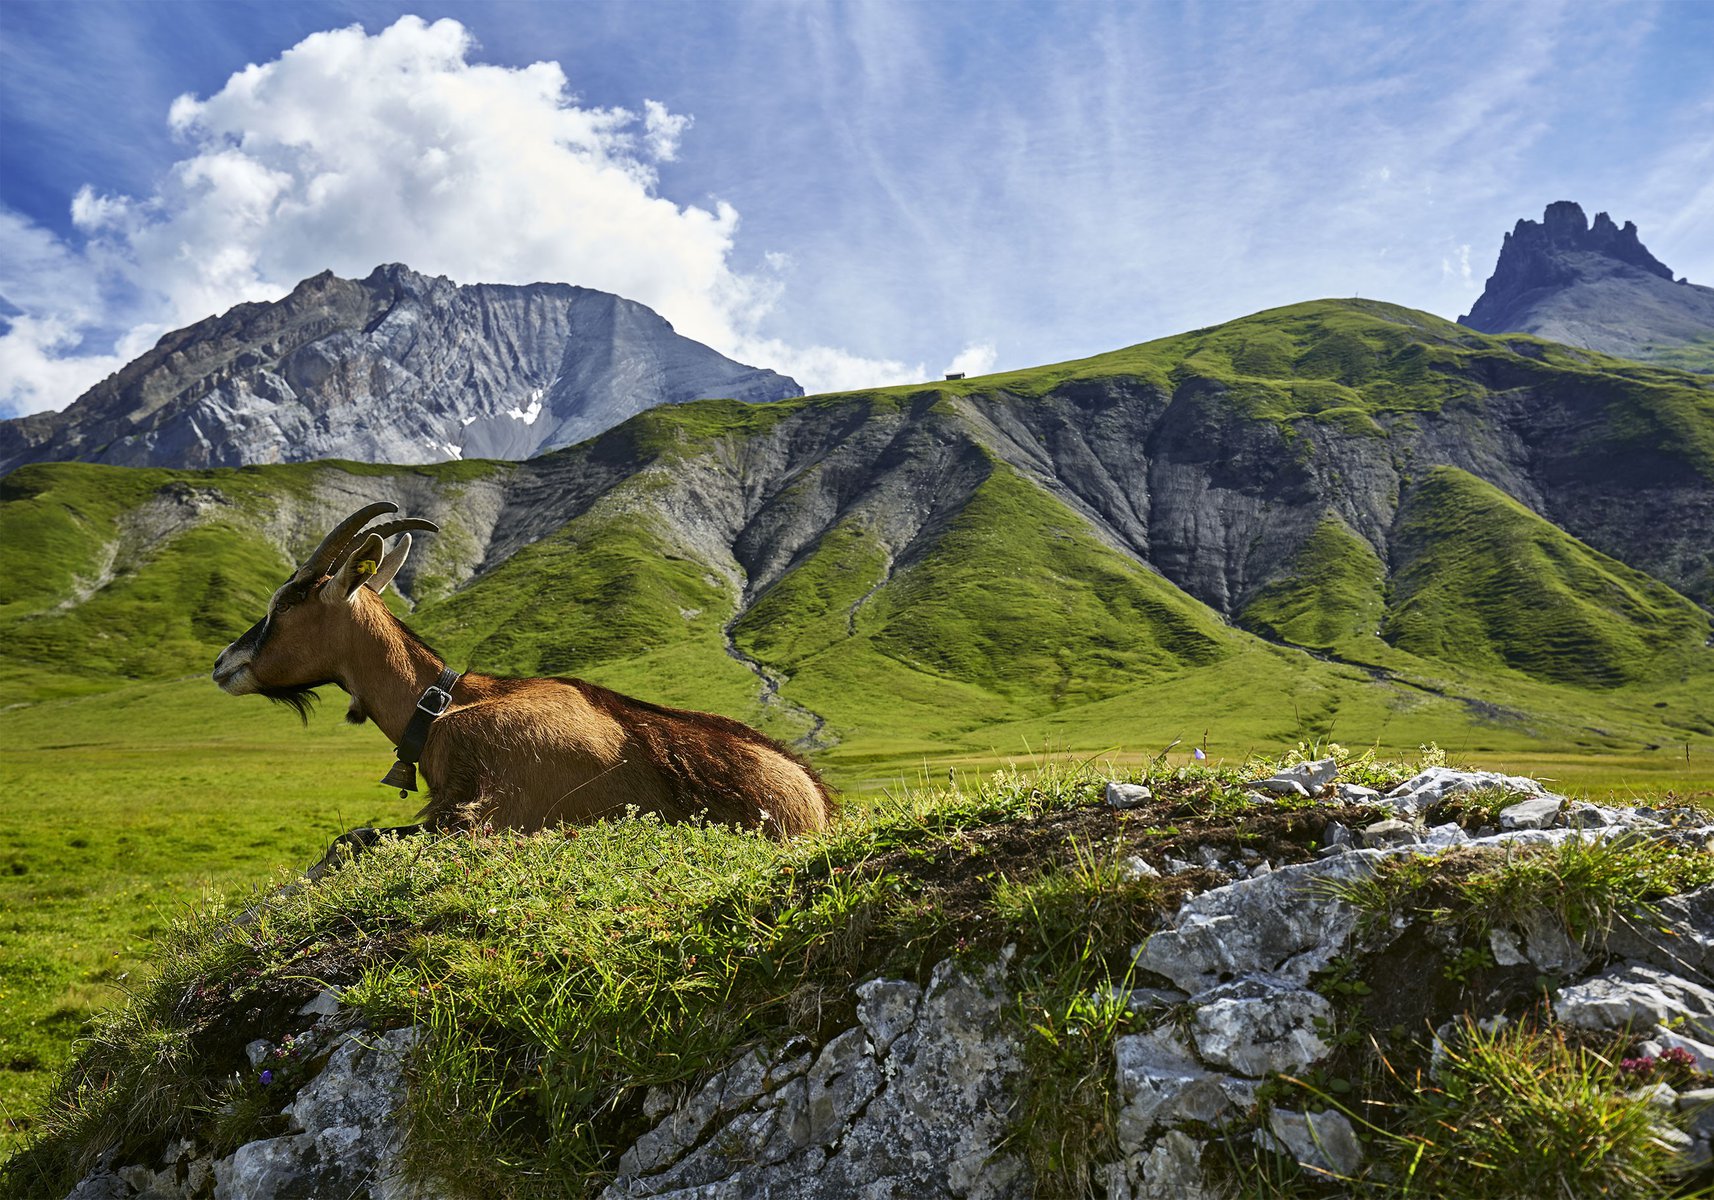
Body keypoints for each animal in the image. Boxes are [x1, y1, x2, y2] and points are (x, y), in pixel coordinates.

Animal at [207, 500, 836, 846]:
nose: (222, 664)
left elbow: (349, 841)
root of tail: (819, 799)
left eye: (286, 600)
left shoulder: (486, 816)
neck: (444, 706)